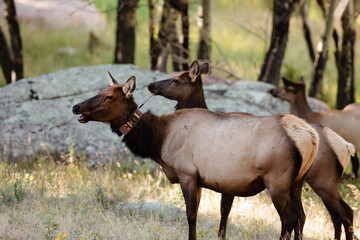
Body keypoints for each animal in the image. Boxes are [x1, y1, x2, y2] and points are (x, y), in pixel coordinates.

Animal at [72, 71, 318, 240]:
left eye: (109, 97)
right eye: (99, 92)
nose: (76, 107)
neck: (158, 140)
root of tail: (310, 137)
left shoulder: (187, 174)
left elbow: (191, 216)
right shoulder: (200, 180)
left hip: (277, 180)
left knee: (288, 219)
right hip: (297, 182)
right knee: (301, 216)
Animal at [148, 60, 356, 240]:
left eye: (175, 80)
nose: (151, 85)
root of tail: (347, 147)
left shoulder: (227, 178)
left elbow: (224, 210)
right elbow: (225, 211)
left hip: (318, 181)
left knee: (337, 214)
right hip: (301, 182)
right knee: (314, 215)